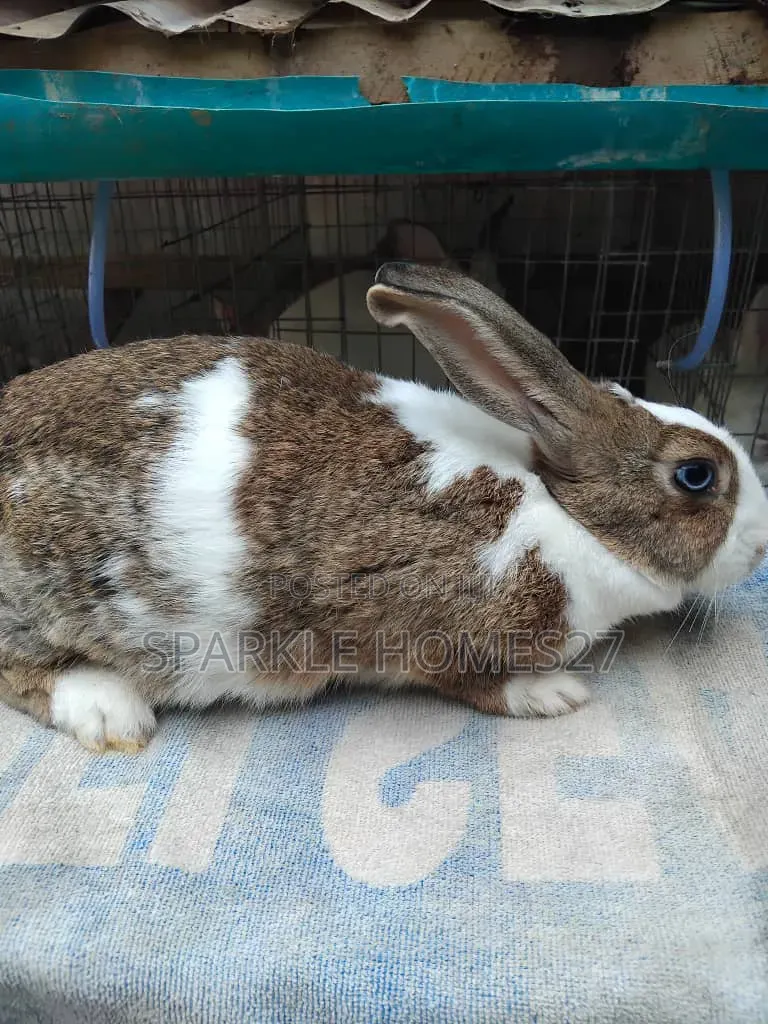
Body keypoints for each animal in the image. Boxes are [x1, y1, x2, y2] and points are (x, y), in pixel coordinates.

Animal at [1, 262, 767, 755]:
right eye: (696, 476)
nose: (760, 547)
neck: (564, 512)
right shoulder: (421, 621)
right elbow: (470, 679)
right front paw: (549, 694)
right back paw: (111, 713)